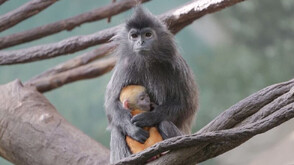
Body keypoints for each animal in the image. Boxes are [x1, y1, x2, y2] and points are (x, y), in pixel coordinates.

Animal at [104, 6, 199, 162]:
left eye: (148, 34)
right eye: (134, 36)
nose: (140, 43)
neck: (146, 61)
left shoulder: (176, 66)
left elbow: (186, 106)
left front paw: (149, 117)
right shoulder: (124, 66)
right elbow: (111, 104)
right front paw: (132, 129)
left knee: (164, 123)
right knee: (117, 130)